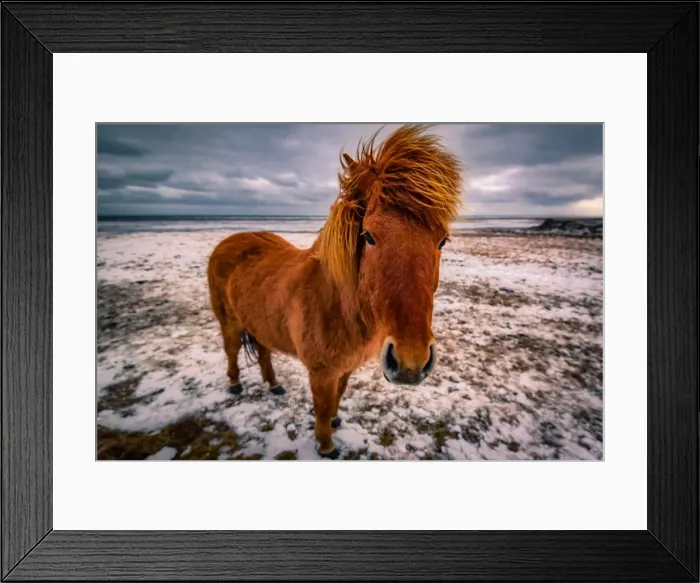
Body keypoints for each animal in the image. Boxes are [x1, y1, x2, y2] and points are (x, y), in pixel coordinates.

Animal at [207, 124, 463, 458]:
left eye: (442, 240)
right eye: (369, 236)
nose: (411, 362)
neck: (338, 306)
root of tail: (229, 242)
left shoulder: (345, 369)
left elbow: (337, 399)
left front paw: (335, 421)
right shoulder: (321, 372)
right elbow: (321, 407)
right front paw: (326, 445)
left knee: (263, 351)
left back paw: (274, 385)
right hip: (229, 322)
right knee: (232, 349)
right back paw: (235, 384)